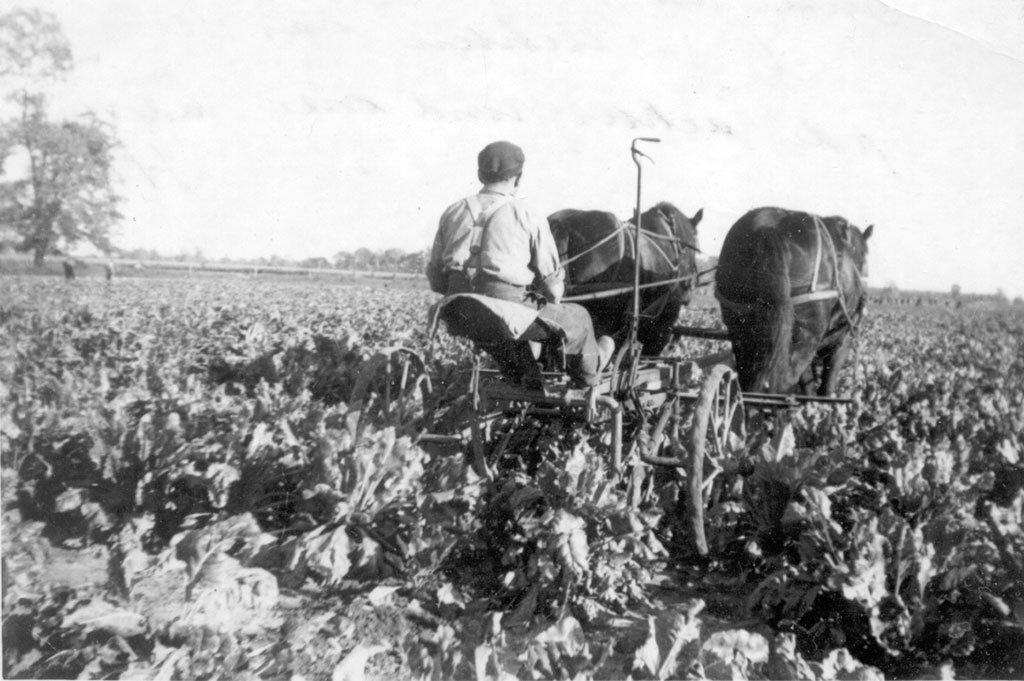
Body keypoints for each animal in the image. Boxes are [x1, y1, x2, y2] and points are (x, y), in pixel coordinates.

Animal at [712, 208, 872, 399]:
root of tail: (767, 229)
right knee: (782, 384)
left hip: (743, 331)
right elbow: (825, 387)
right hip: (806, 335)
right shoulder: (842, 341)